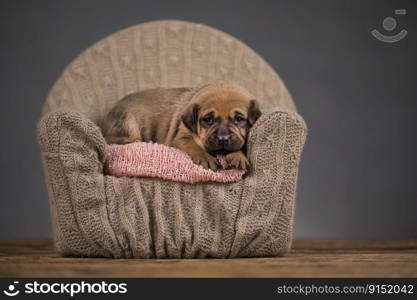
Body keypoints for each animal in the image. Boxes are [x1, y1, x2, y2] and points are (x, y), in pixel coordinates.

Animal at [101, 83, 260, 170]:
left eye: (239, 119)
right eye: (208, 120)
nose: (223, 139)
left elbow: (239, 145)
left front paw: (238, 157)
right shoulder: (181, 138)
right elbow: (194, 146)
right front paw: (206, 158)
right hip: (128, 122)